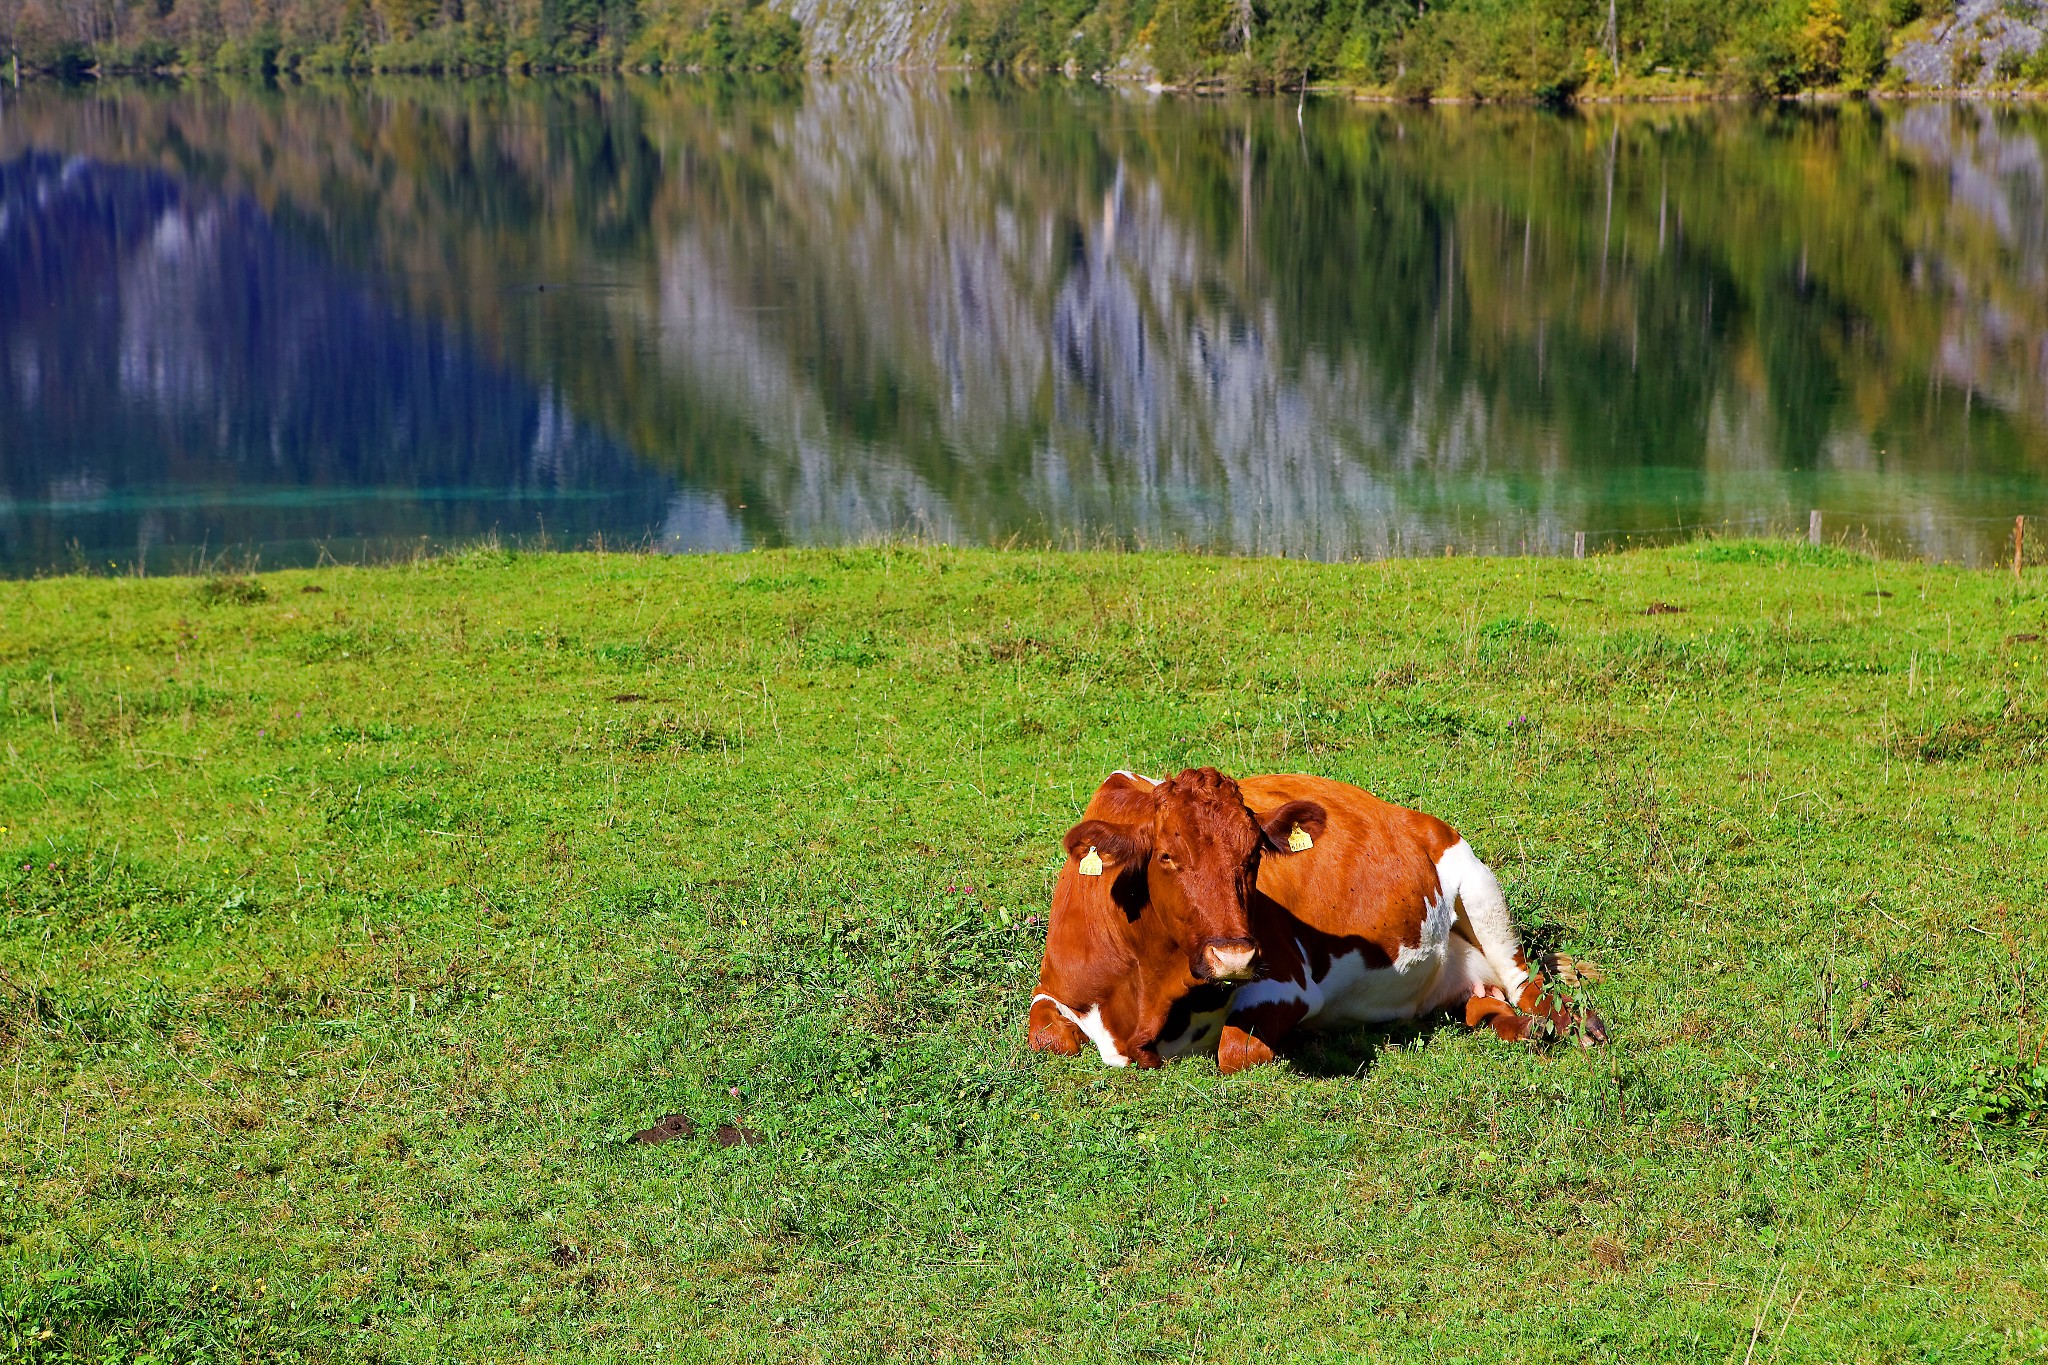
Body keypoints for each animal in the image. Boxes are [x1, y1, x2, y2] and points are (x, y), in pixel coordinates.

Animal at [1024, 773, 1597, 1072]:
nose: (1234, 956)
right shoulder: (1053, 989)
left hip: (1478, 886)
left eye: (1254, 854)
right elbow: (1050, 1037)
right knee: (1488, 1005)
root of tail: (1413, 816)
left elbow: (1234, 1049)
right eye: (1166, 856)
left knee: (1529, 986)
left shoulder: (1288, 982)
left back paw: (1581, 1028)